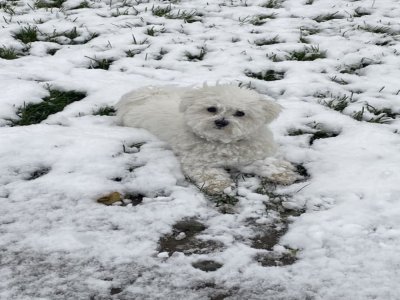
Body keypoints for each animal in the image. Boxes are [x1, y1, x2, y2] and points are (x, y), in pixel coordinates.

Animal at [115, 84, 296, 195]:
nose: (221, 122)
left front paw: (283, 173)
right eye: (211, 109)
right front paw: (220, 186)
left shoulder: (255, 153)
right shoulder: (198, 162)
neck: (225, 143)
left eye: (240, 113)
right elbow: (210, 173)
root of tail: (145, 96)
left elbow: (269, 162)